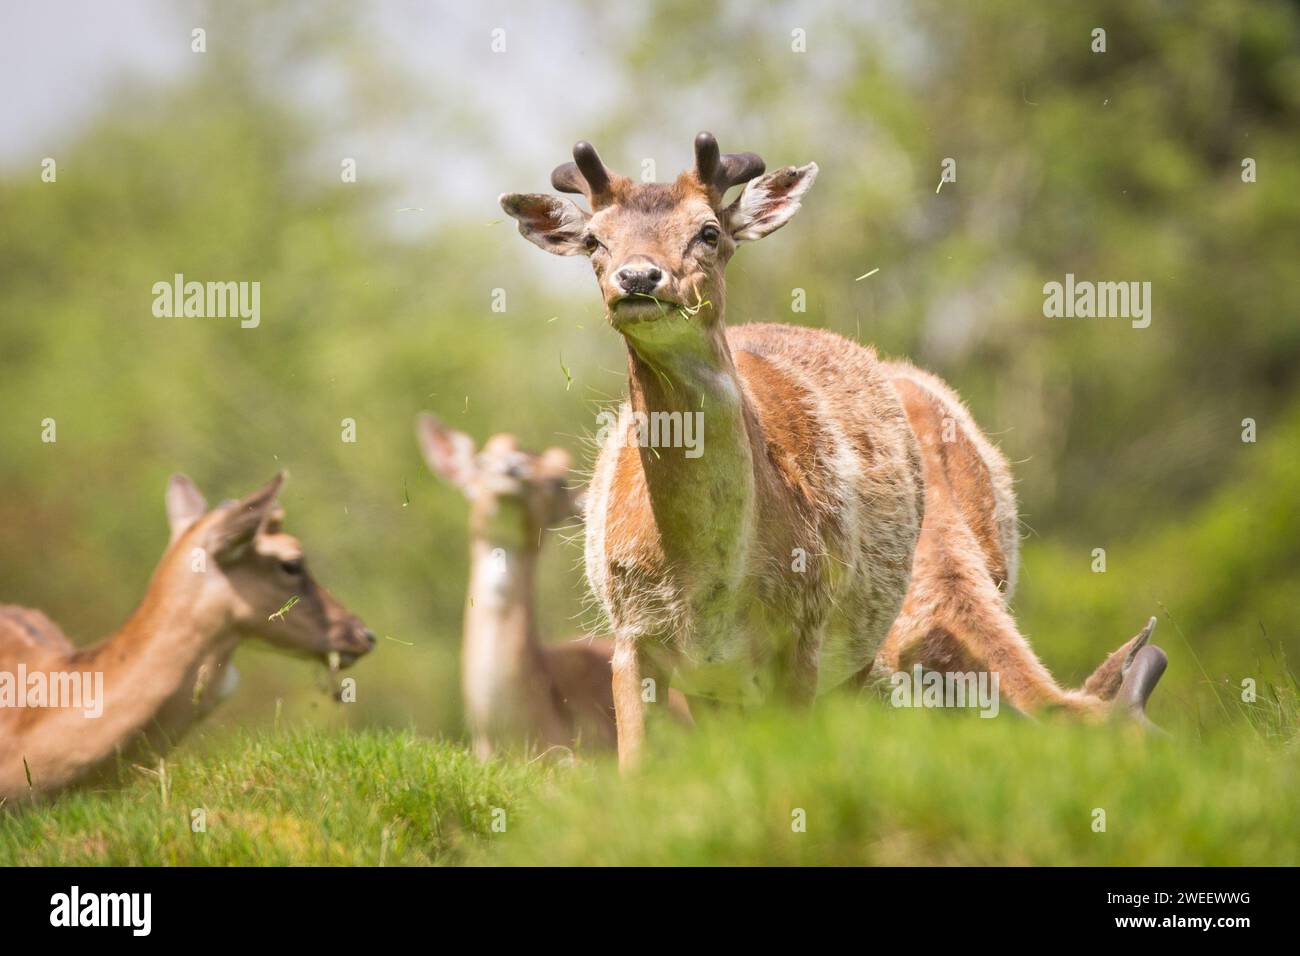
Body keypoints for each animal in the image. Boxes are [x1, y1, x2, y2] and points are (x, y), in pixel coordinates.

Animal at [496, 132, 1170, 770]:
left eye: (709, 231)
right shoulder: (633, 636)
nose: (638, 277)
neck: (706, 587)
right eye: (594, 240)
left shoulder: (807, 639)